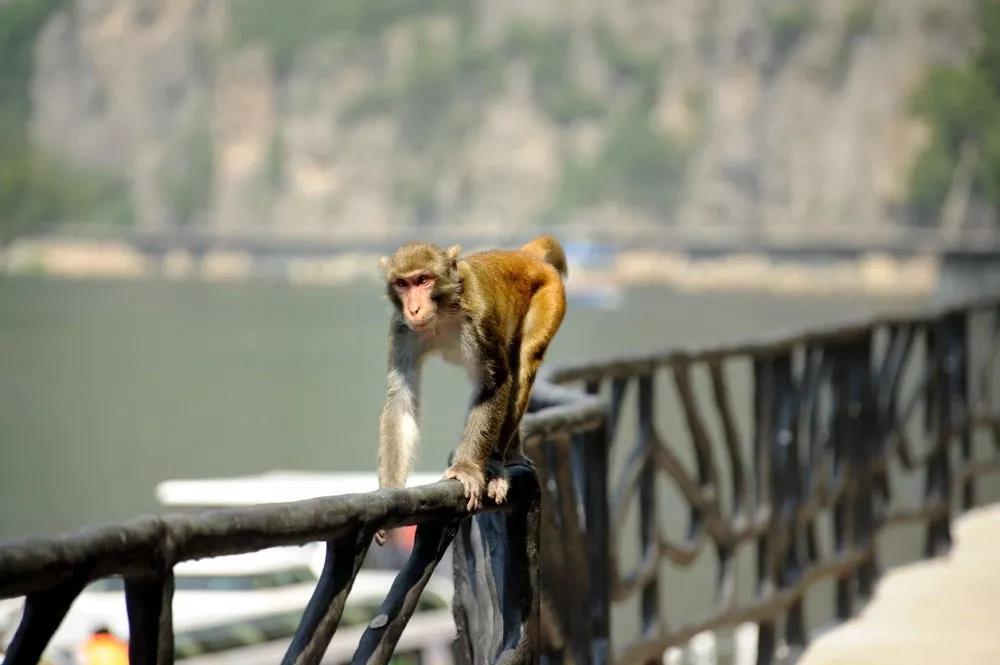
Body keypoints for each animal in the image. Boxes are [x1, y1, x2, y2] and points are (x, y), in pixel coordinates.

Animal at [374, 235, 567, 544]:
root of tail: (526, 255)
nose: (413, 309)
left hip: (550, 297)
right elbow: (401, 398)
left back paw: (497, 462)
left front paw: (466, 469)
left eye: (423, 280)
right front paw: (390, 491)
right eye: (402, 284)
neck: (442, 313)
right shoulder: (402, 329)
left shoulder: (478, 321)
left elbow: (496, 382)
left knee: (524, 365)